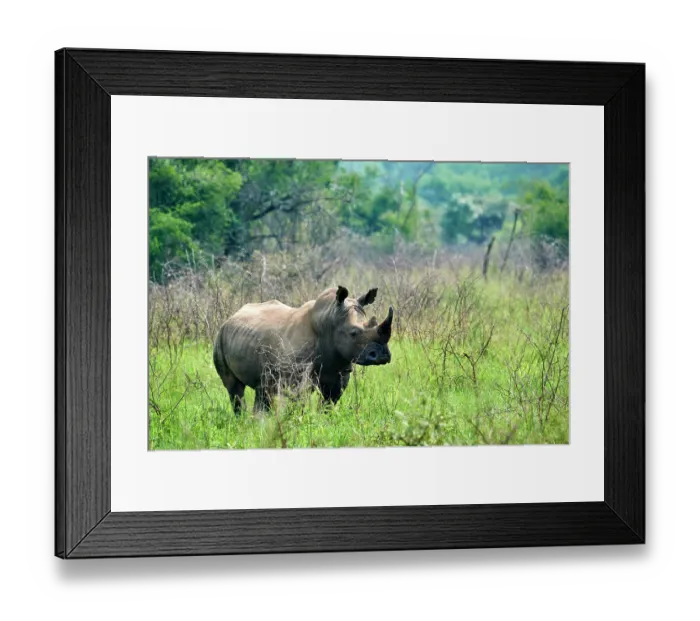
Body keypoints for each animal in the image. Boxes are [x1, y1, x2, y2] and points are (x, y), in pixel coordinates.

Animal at [213, 286, 393, 413]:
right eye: (353, 333)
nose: (382, 355)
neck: (329, 322)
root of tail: (231, 317)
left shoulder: (340, 371)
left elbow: (328, 403)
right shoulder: (295, 376)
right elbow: (299, 403)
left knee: (262, 390)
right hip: (220, 337)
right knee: (234, 389)